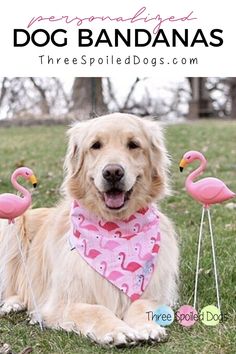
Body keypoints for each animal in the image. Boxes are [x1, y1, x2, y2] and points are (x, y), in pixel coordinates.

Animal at [0, 112, 177, 346]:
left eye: (133, 144)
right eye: (96, 145)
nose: (113, 172)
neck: (115, 228)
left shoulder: (158, 293)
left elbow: (142, 304)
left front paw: (147, 327)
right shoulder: (62, 302)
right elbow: (95, 310)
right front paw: (117, 330)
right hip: (12, 223)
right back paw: (13, 303)